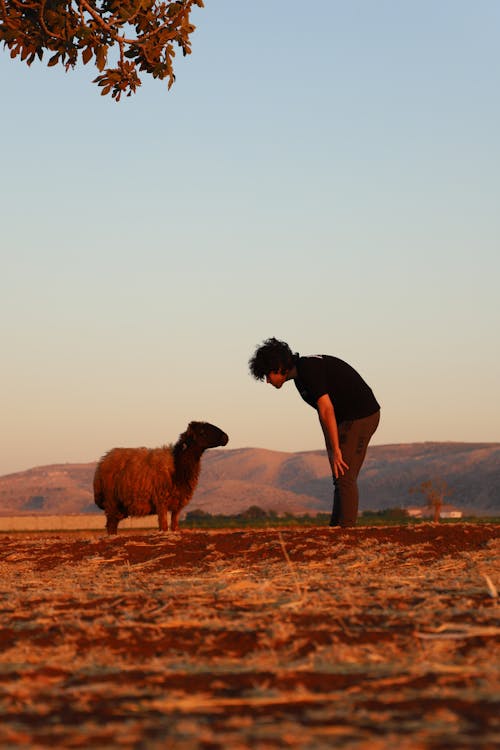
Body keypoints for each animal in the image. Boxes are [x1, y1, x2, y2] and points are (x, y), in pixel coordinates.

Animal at [93, 424, 228, 536]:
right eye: (202, 431)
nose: (226, 437)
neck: (177, 465)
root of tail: (102, 462)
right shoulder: (161, 502)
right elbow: (163, 527)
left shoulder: (177, 505)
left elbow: (174, 527)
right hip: (111, 501)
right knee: (111, 525)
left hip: (119, 506)